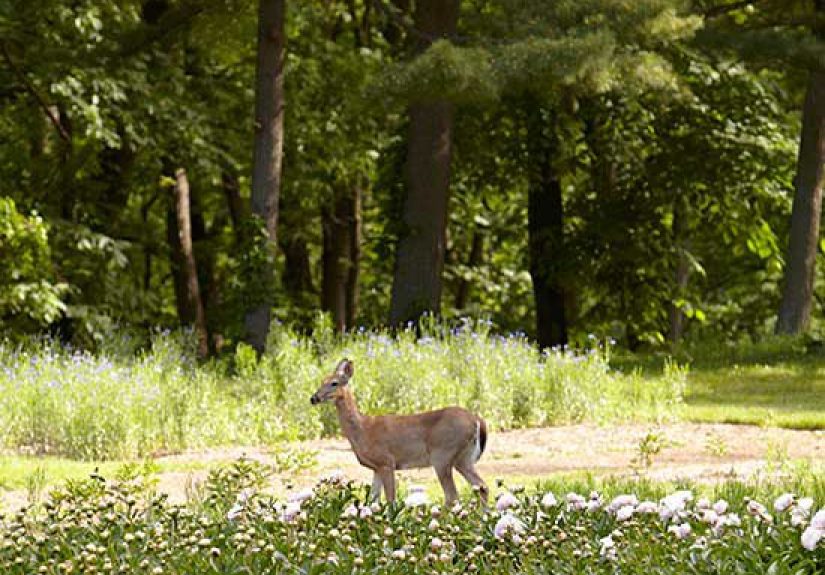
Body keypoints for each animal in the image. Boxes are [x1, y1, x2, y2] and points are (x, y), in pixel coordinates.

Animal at [310, 358, 489, 506]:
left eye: (334, 383)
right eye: (321, 381)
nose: (313, 398)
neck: (363, 430)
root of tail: (477, 420)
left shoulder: (386, 461)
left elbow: (390, 500)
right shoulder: (376, 467)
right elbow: (372, 501)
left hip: (442, 454)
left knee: (453, 496)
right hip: (464, 459)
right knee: (482, 487)